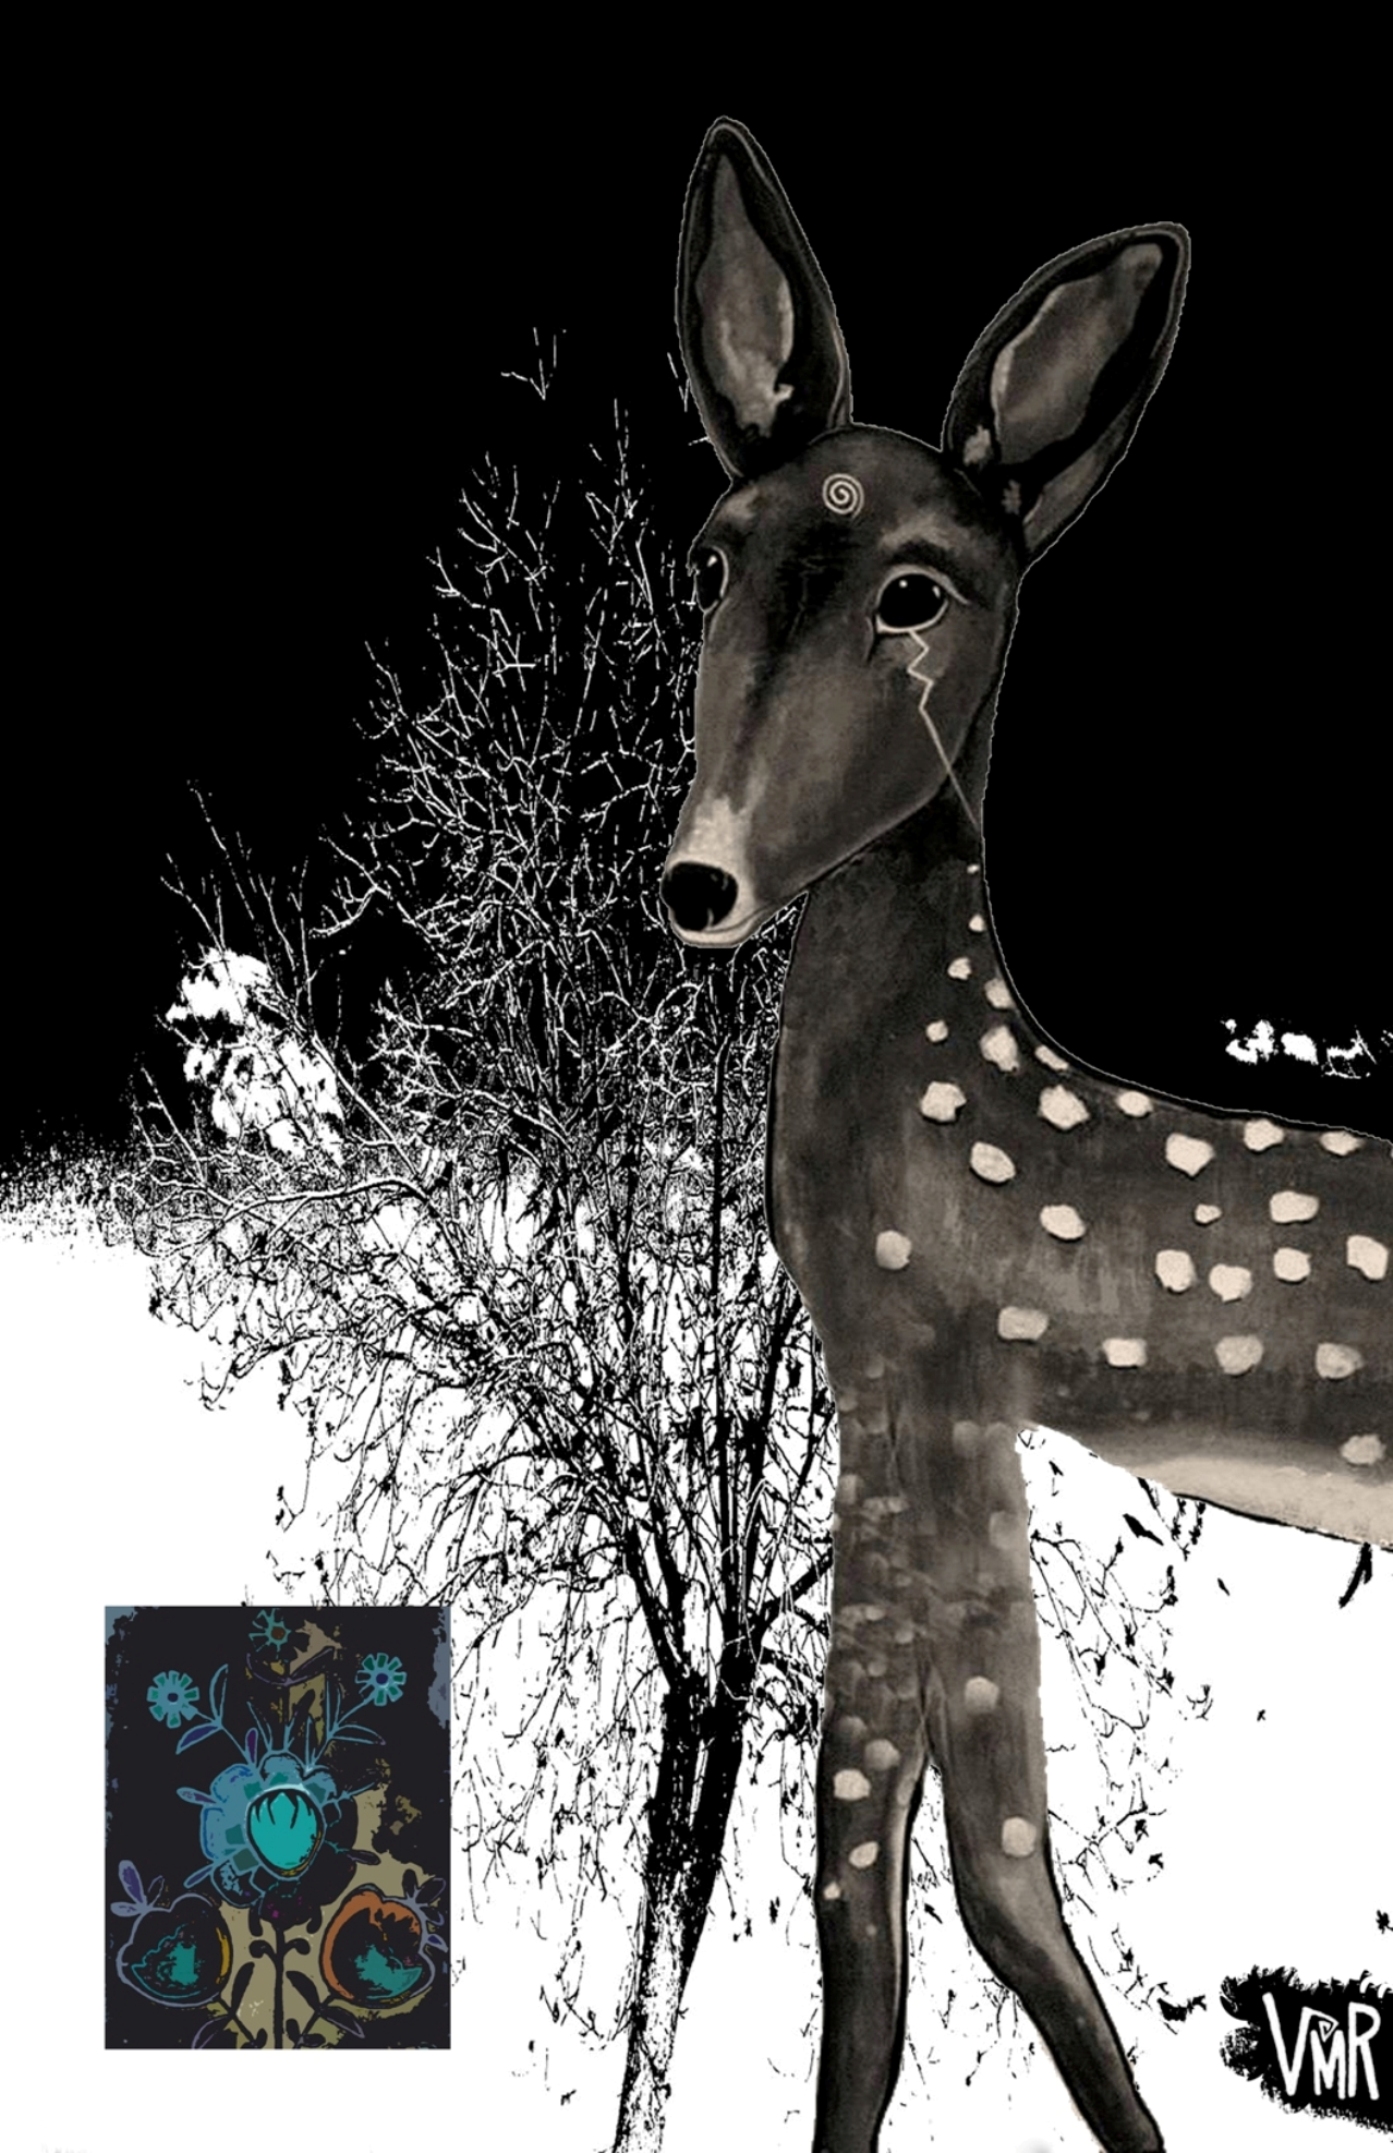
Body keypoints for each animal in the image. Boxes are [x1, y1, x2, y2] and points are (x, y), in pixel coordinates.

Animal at [659, 117, 1391, 2153]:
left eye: (920, 587)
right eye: (715, 553)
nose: (695, 881)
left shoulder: (961, 1369)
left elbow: (992, 1880)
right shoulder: (887, 1388)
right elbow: (862, 1877)